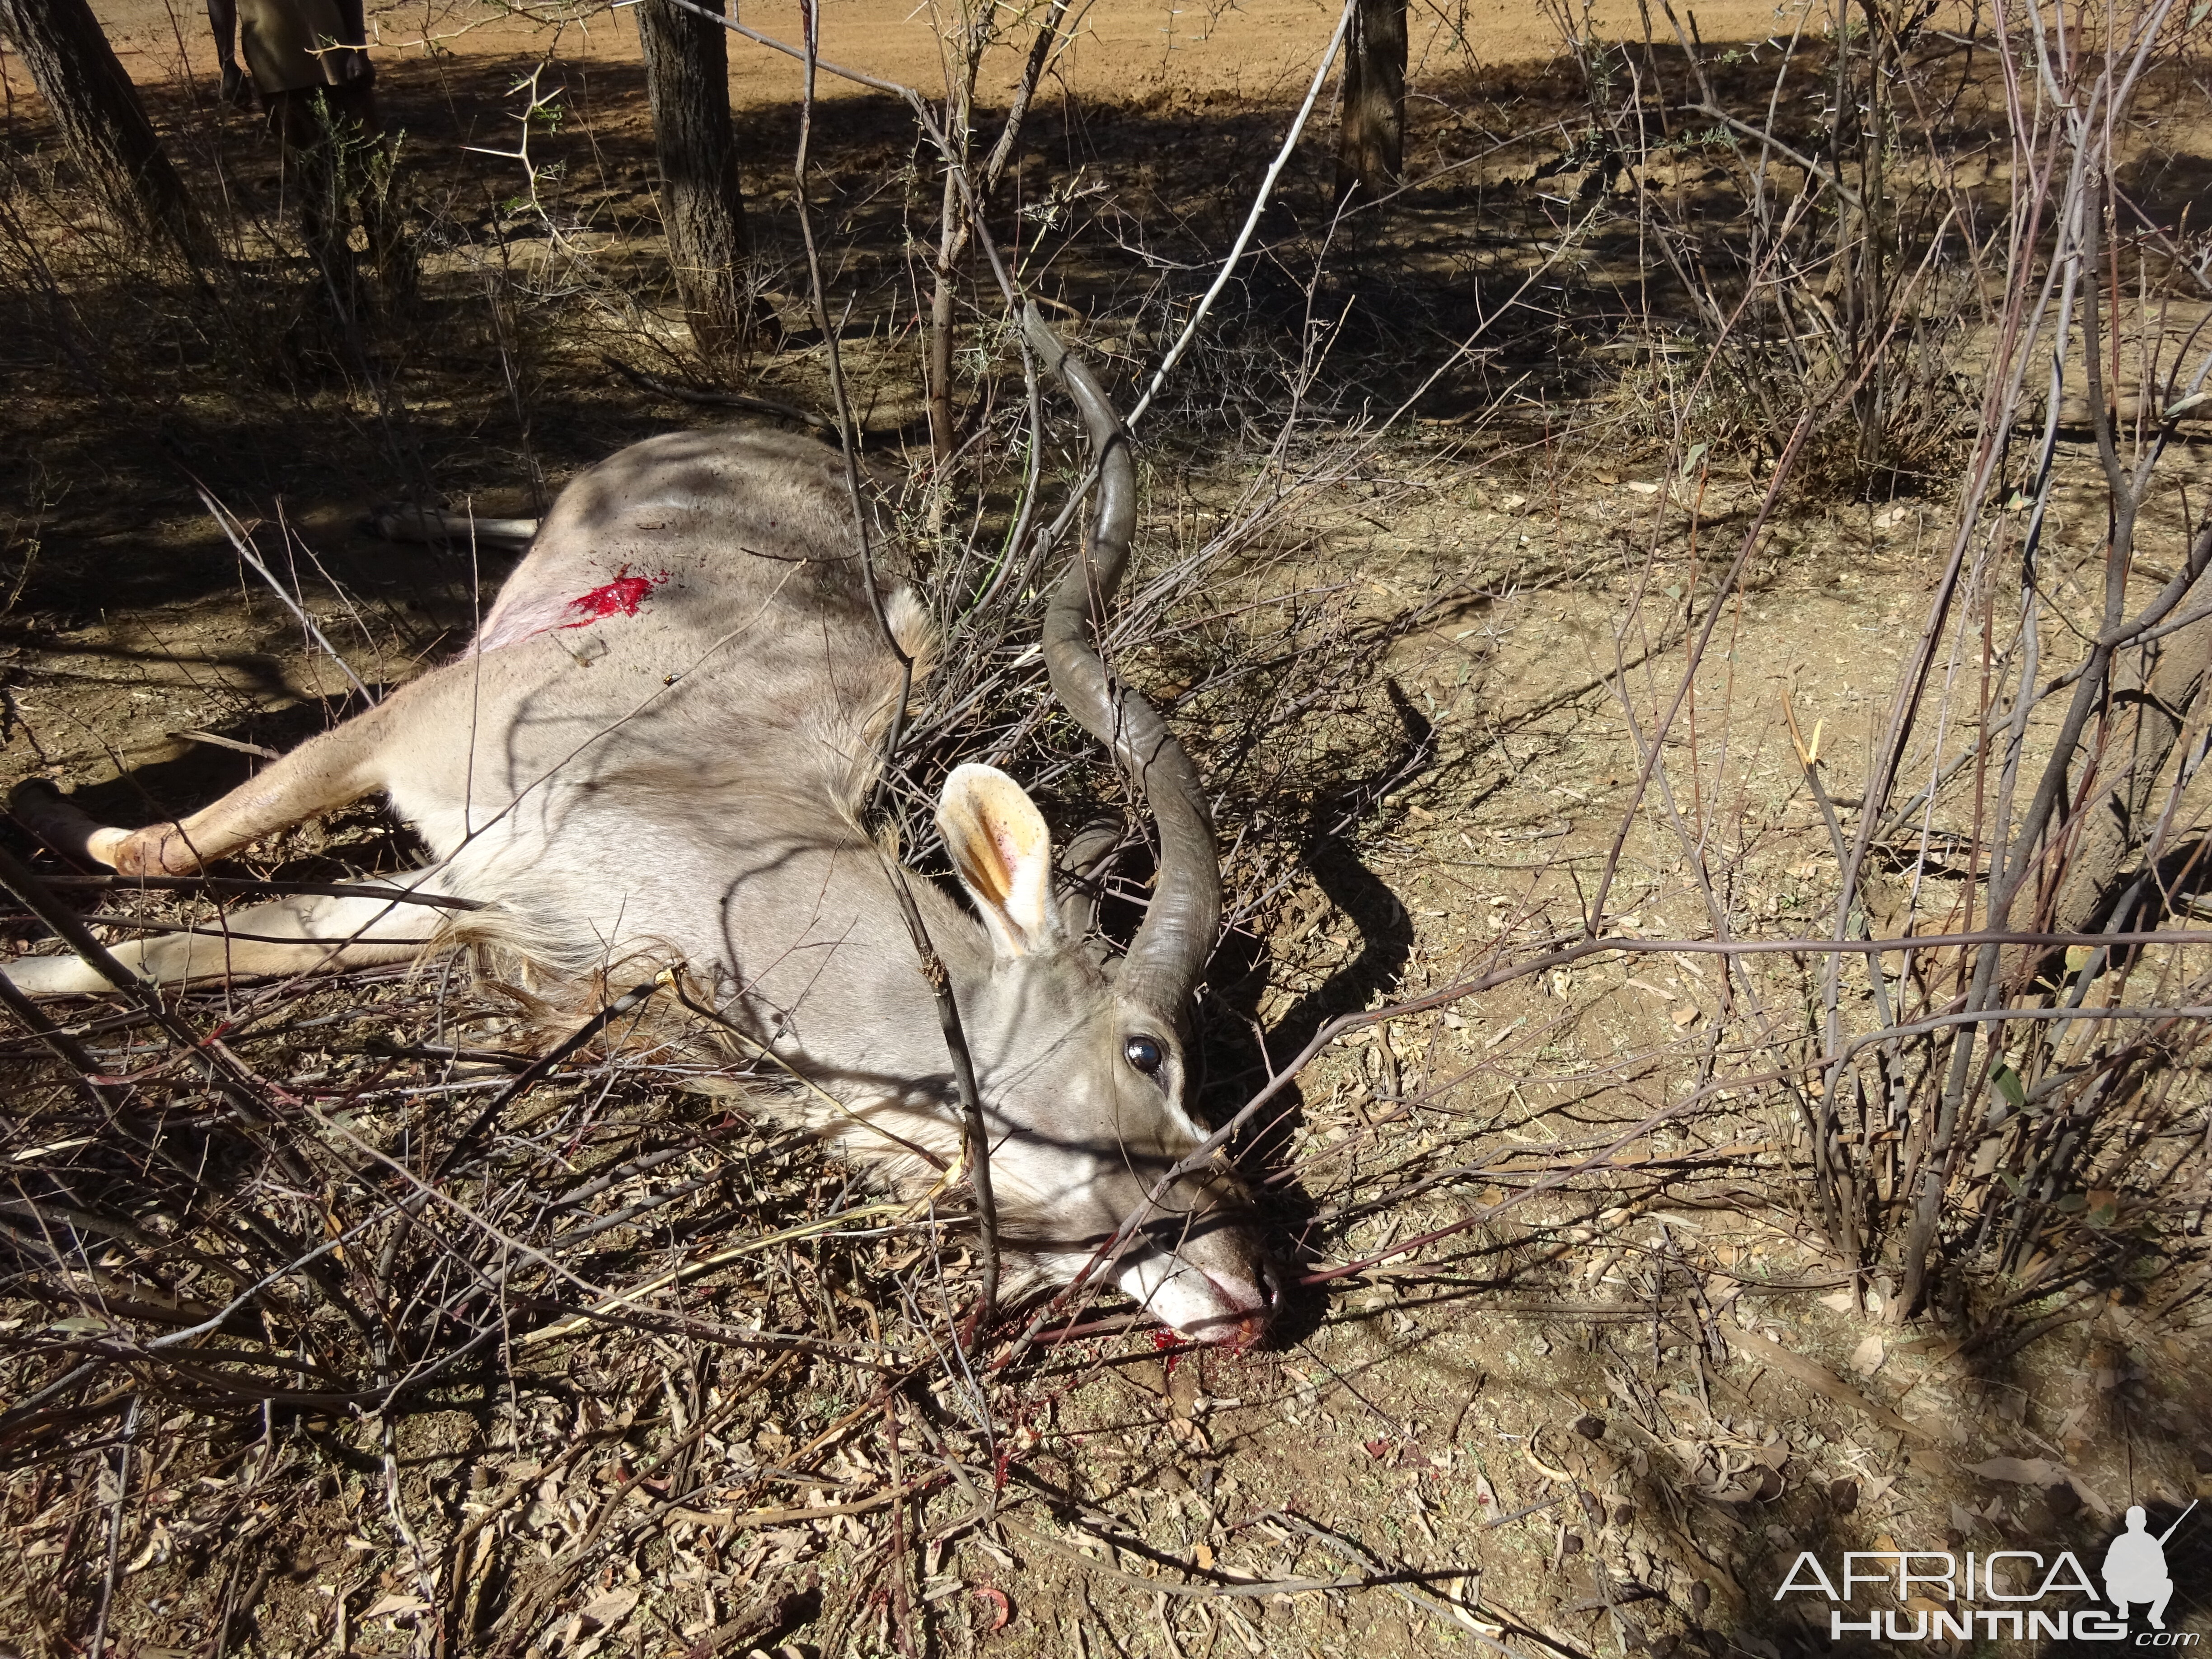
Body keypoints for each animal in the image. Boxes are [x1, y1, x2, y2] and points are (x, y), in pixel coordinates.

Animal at [4, 320, 1283, 1354]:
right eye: (1147, 1053)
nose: (1246, 1288)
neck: (717, 808)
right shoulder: (402, 731)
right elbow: (158, 855)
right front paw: (36, 808)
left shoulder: (465, 893)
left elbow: (173, 950)